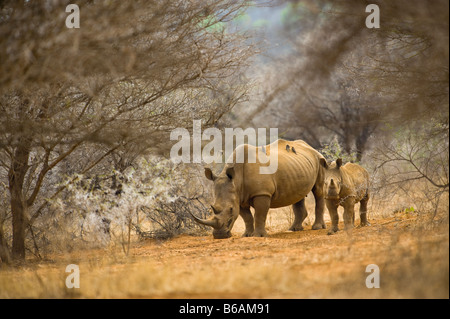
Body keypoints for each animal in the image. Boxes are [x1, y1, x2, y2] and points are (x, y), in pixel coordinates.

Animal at [190, 139, 326, 239]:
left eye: (230, 209)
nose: (219, 236)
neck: (236, 179)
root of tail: (309, 147)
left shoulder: (261, 193)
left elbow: (259, 214)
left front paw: (259, 236)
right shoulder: (239, 196)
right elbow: (247, 217)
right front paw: (247, 235)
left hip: (320, 159)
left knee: (318, 191)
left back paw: (317, 227)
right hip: (298, 166)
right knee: (298, 195)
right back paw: (294, 229)